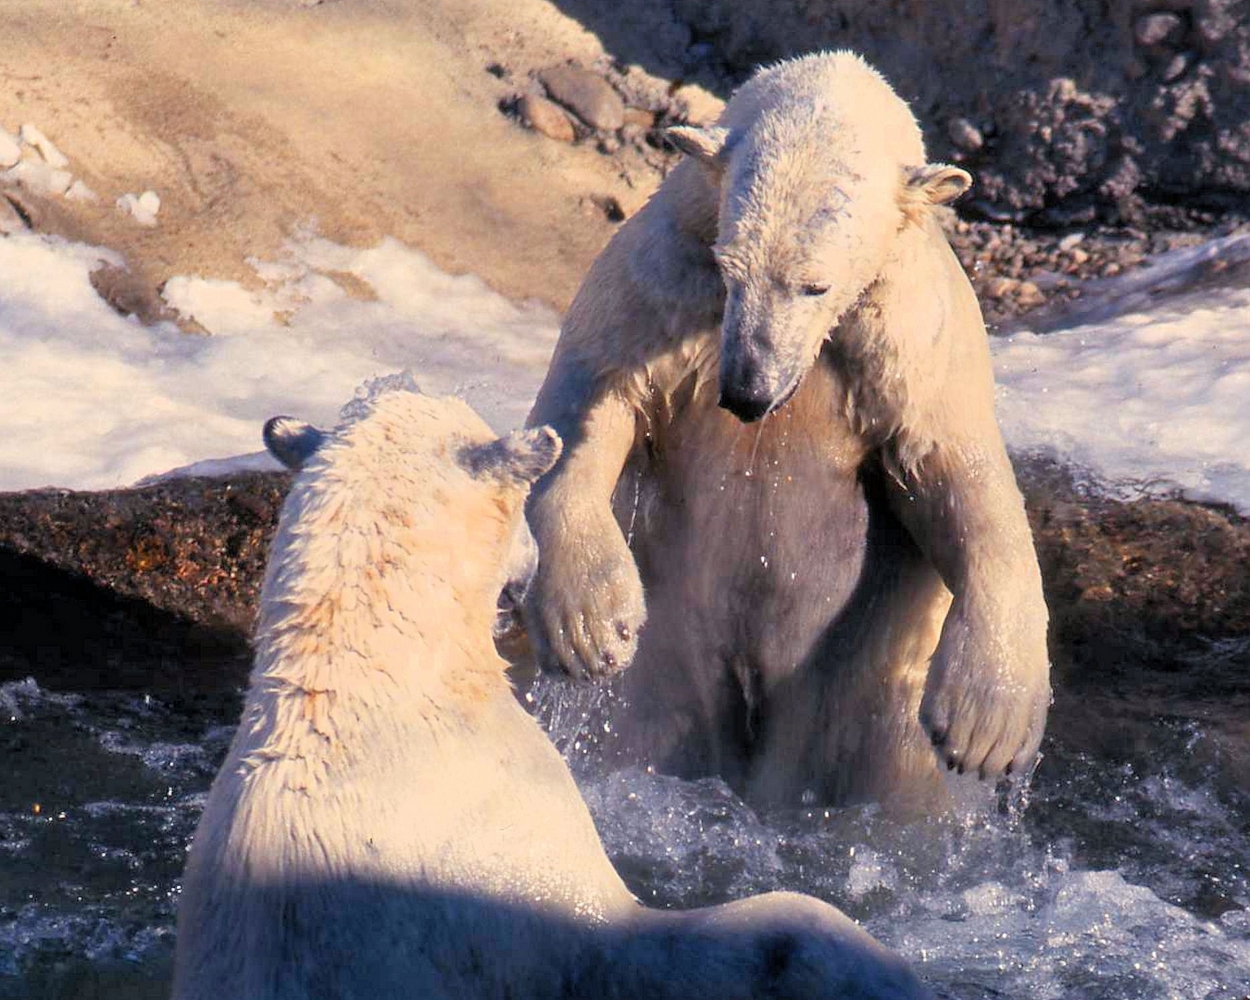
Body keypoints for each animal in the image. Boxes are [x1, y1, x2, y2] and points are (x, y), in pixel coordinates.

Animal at [523, 50, 1051, 813]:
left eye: (815, 284)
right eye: (729, 266)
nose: (748, 390)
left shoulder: (914, 338)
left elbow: (960, 478)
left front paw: (988, 723)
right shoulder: (661, 281)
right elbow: (589, 398)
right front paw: (590, 624)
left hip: (868, 703)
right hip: (667, 668)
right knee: (647, 728)